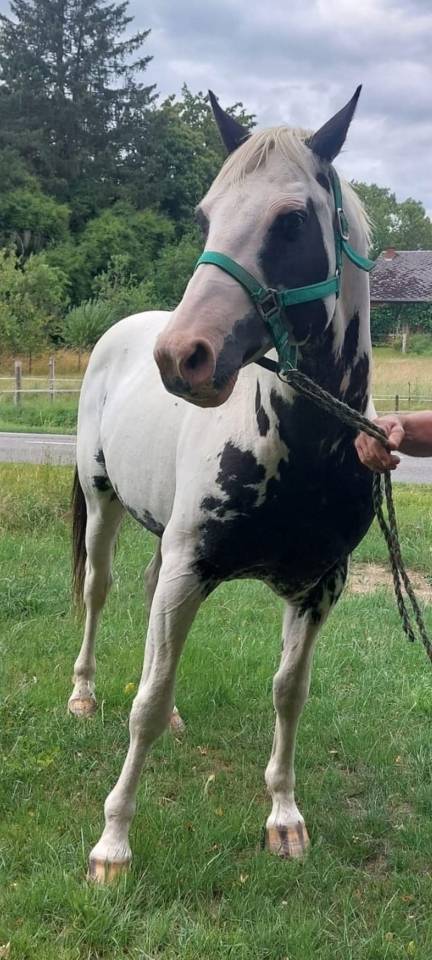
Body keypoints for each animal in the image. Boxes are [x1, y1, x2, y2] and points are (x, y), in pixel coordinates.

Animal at [70, 87, 376, 883]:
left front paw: (285, 818)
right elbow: (144, 705)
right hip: (103, 504)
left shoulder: (318, 588)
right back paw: (82, 695)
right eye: (207, 216)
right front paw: (112, 845)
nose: (183, 356)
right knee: (99, 592)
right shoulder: (190, 569)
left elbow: (289, 693)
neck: (299, 449)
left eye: (291, 220)